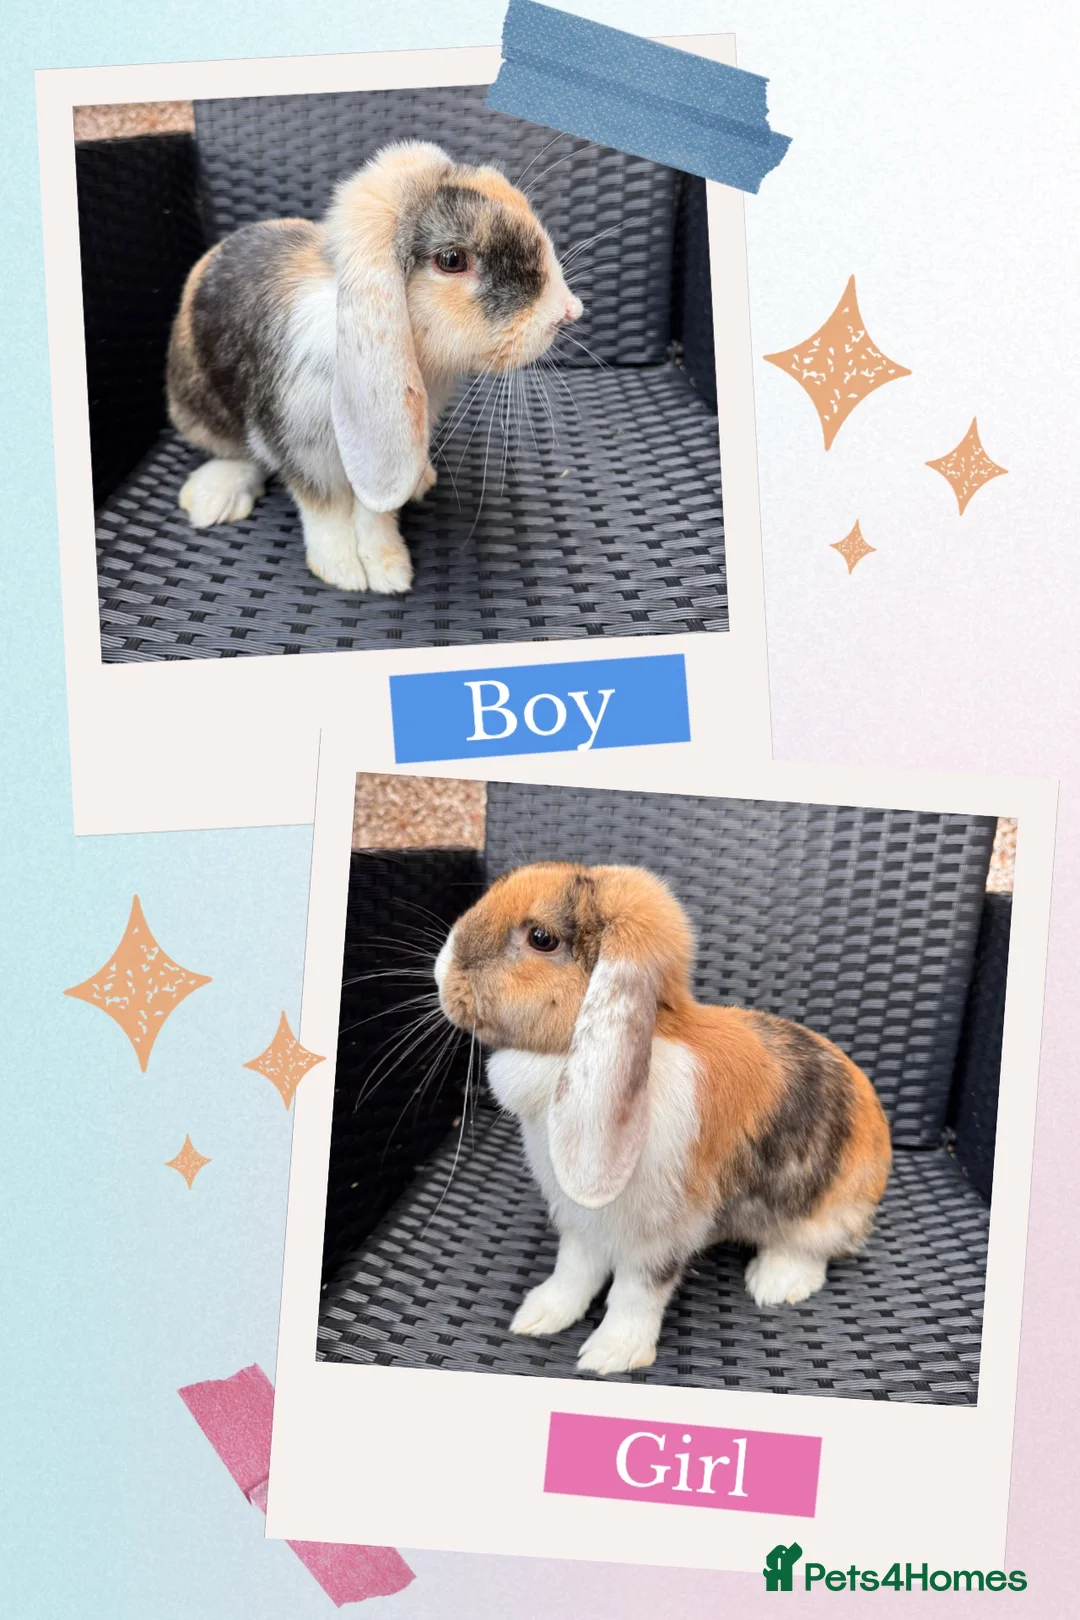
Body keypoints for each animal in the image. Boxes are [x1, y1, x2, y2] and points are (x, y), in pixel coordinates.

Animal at [166, 141, 583, 594]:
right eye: (452, 259)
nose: (567, 312)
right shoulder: (302, 446)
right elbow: (325, 509)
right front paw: (343, 571)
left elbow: (374, 512)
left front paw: (388, 568)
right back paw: (213, 498)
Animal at [434, 861, 892, 1377]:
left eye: (541, 938)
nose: (442, 971)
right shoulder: (581, 1223)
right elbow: (574, 1270)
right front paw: (541, 1315)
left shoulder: (657, 1237)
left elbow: (637, 1294)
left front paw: (611, 1354)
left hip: (825, 1212)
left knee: (813, 1249)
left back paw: (774, 1283)